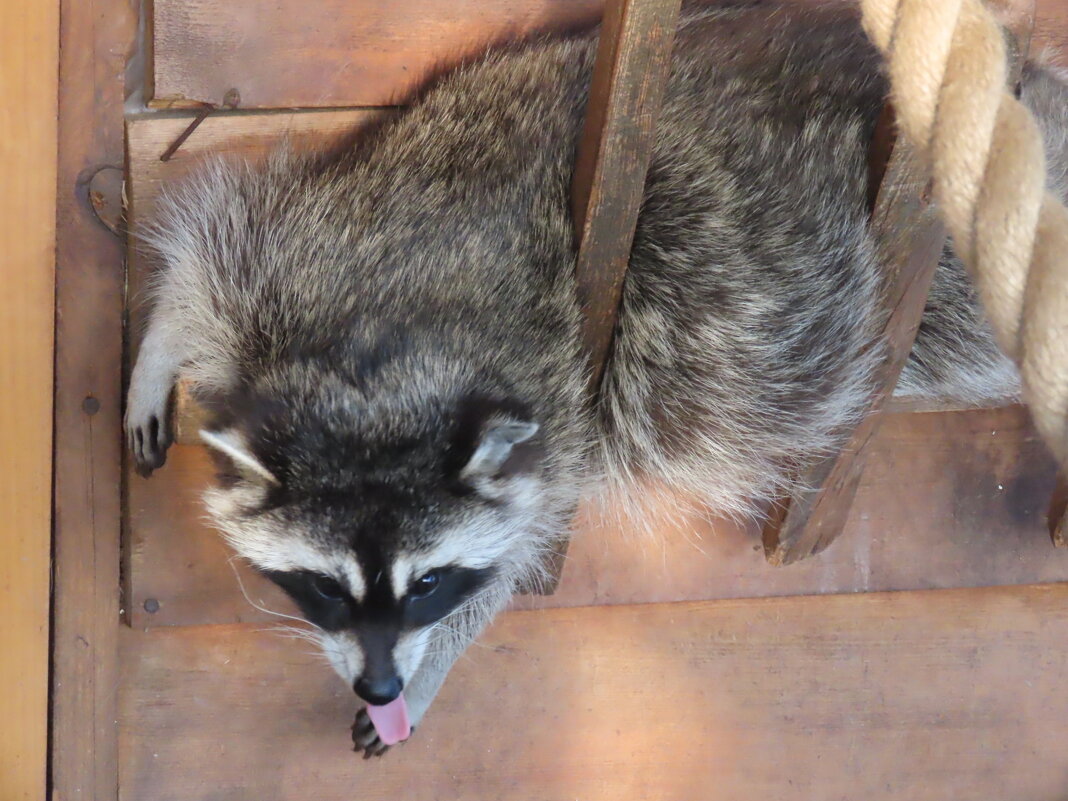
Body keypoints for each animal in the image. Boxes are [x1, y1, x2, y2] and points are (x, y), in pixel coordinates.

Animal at [122, 3, 1068, 760]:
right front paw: (166, 333)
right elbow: (212, 259)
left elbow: (519, 542)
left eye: (429, 583)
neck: (383, 383)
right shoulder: (303, 264)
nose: (384, 687)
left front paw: (440, 655)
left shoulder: (552, 417)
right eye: (325, 586)